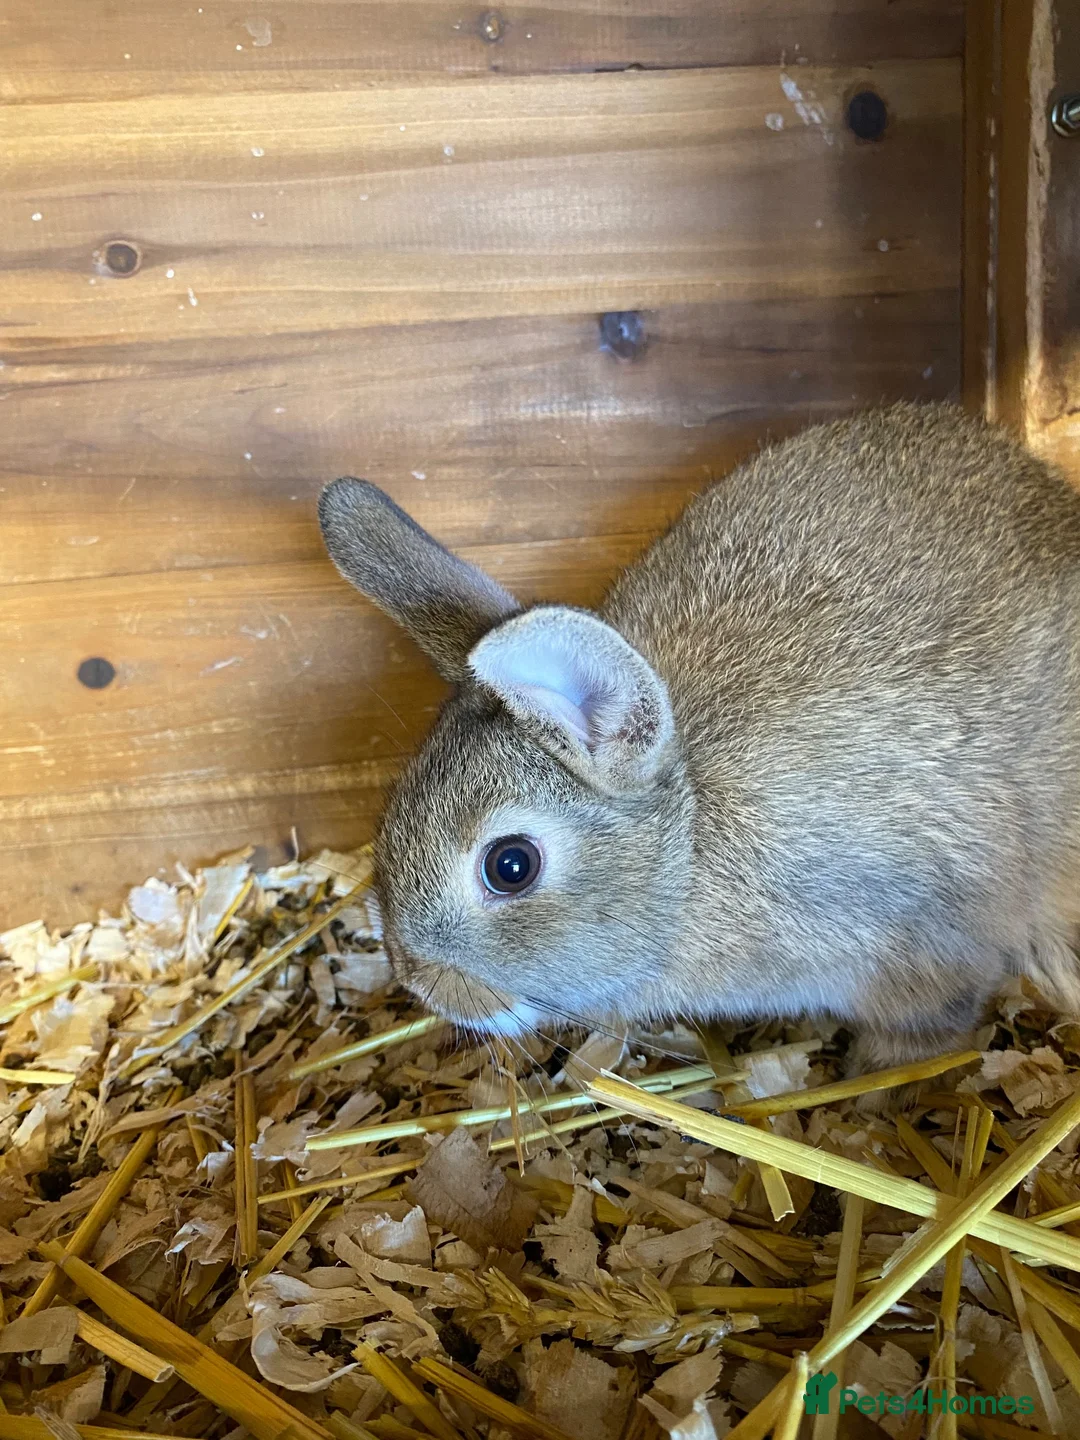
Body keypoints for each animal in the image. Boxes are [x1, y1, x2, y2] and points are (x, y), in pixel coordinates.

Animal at [317, 403, 1080, 1080]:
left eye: (511, 866)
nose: (419, 982)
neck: (687, 841)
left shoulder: (924, 934)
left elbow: (933, 1022)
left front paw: (871, 1078)